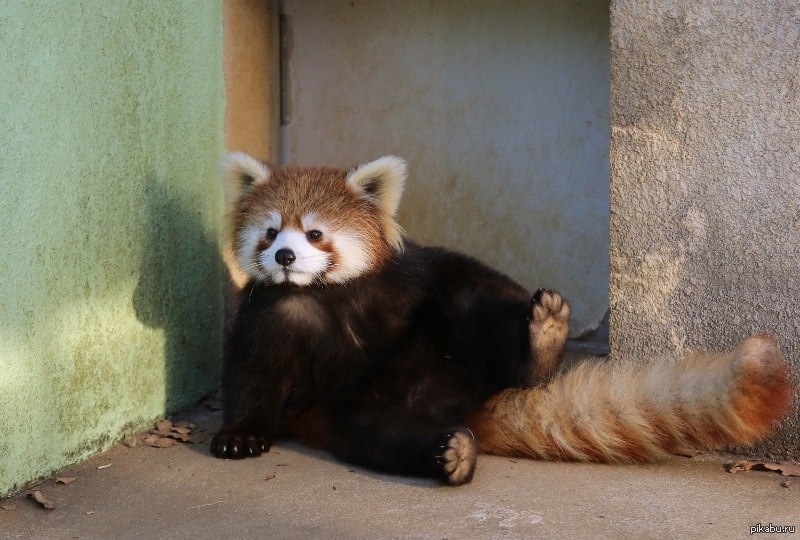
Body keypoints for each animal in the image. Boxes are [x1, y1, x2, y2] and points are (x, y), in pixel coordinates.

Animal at [212, 152, 792, 486]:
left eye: (314, 233)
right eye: (270, 232)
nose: (285, 256)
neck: (323, 296)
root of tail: (461, 403)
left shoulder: (405, 277)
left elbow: (456, 275)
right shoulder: (266, 316)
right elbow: (253, 374)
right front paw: (240, 435)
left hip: (455, 341)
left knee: (470, 296)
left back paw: (542, 345)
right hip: (347, 412)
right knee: (382, 437)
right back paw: (451, 453)